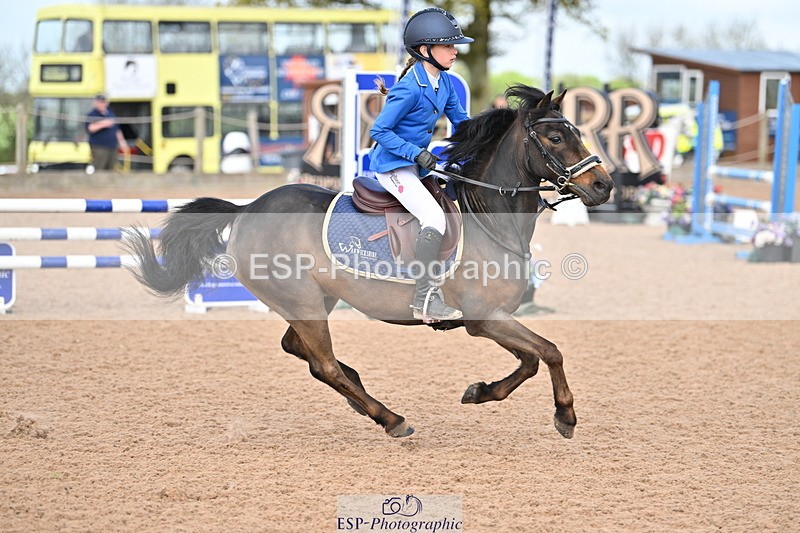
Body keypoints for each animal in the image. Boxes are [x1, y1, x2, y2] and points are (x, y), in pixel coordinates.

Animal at [123, 85, 613, 439]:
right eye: (556, 137)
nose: (604, 186)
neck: (489, 216)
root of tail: (247, 210)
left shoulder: (493, 319)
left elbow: (532, 359)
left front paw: (480, 392)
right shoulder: (484, 317)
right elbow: (550, 351)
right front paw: (565, 416)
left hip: (314, 301)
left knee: (304, 352)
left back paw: (362, 396)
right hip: (302, 300)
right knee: (322, 364)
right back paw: (390, 418)